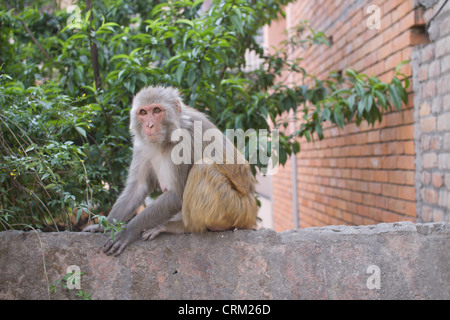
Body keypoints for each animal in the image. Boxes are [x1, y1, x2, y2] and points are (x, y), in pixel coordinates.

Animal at [83, 86, 256, 256]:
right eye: (143, 112)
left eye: (157, 110)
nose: (149, 125)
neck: (166, 139)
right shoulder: (141, 146)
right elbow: (138, 187)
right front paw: (104, 225)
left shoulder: (185, 141)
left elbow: (177, 195)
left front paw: (128, 231)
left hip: (237, 209)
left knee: (203, 167)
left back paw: (180, 227)